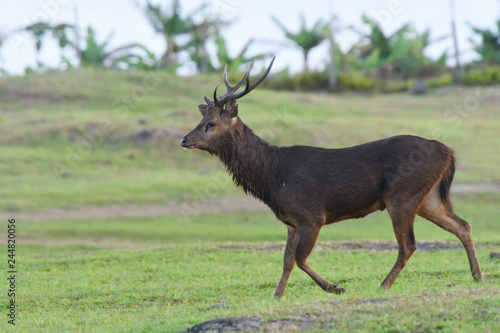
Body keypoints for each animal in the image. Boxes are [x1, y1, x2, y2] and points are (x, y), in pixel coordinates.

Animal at [180, 55, 480, 296]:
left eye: (211, 124)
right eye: (200, 120)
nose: (184, 140)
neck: (273, 179)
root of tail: (449, 152)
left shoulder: (312, 215)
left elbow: (300, 259)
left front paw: (335, 287)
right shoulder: (291, 221)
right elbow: (287, 260)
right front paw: (277, 295)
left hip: (402, 194)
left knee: (408, 244)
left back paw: (384, 285)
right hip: (428, 196)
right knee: (462, 225)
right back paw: (477, 276)